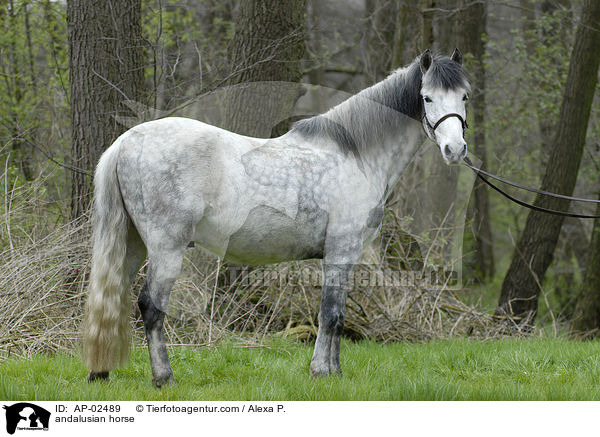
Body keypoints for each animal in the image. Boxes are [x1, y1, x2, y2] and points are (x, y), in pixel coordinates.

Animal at [83, 49, 468, 386]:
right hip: (166, 248)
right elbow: (330, 314)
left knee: (114, 297)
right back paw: (164, 378)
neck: (356, 155)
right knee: (150, 307)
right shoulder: (341, 250)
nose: (456, 150)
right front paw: (321, 372)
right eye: (427, 98)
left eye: (464, 97)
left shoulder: (345, 256)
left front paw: (335, 372)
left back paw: (101, 373)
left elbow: (338, 315)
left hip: (132, 244)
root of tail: (127, 141)